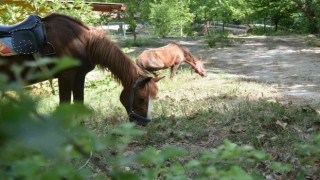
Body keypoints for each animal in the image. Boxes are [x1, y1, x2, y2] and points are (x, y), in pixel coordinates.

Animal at [0, 13, 161, 126]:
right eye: (141, 98)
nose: (143, 123)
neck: (83, 40)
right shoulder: (66, 76)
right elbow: (64, 104)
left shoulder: (79, 76)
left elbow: (79, 103)